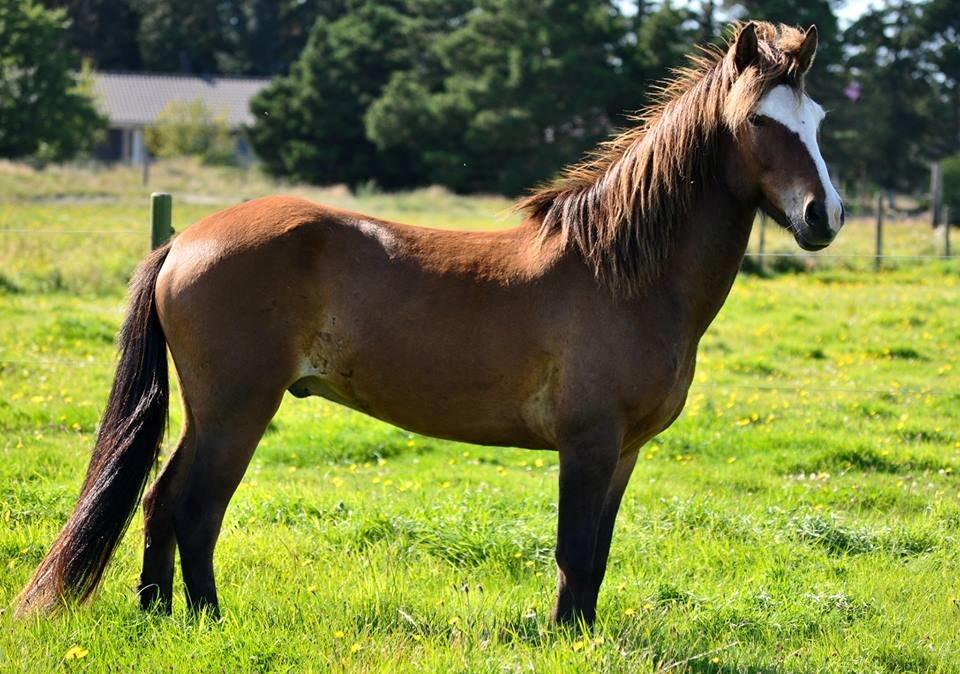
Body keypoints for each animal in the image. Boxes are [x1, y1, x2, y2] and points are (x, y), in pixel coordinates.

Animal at [15, 22, 840, 624]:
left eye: (819, 120)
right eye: (760, 119)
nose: (822, 216)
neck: (621, 271)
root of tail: (184, 241)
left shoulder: (623, 453)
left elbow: (596, 556)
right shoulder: (588, 443)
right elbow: (574, 552)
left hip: (215, 411)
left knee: (162, 503)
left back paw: (160, 616)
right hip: (234, 409)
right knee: (194, 507)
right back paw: (204, 619)